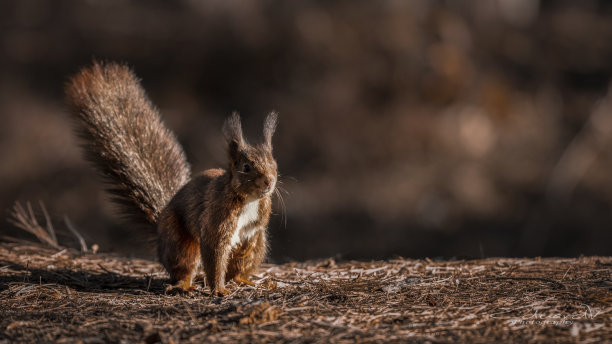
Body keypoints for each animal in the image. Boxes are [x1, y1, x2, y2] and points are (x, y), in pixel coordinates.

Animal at [65, 61, 280, 296]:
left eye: (274, 164)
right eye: (246, 167)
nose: (269, 182)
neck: (249, 200)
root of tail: (160, 224)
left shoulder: (253, 230)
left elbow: (237, 257)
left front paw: (231, 283)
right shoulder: (216, 222)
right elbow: (215, 254)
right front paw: (218, 289)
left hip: (259, 243)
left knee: (238, 268)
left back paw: (245, 281)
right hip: (180, 242)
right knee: (183, 265)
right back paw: (184, 285)